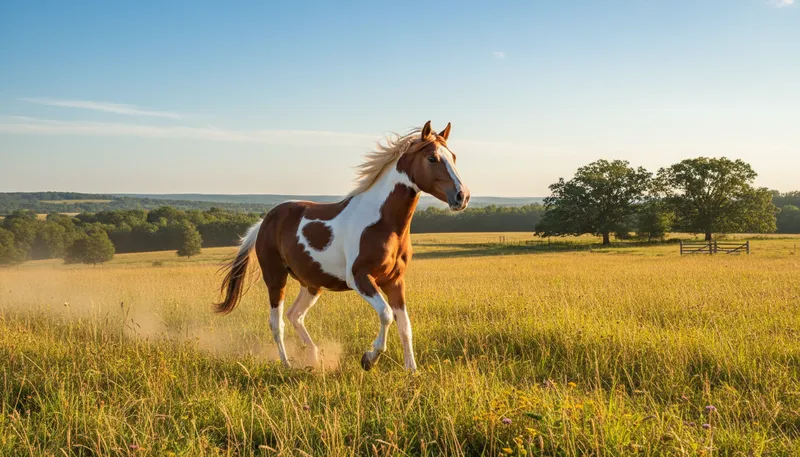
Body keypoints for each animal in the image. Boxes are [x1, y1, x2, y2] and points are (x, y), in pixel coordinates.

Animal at [214, 120, 470, 372]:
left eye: (454, 156)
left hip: (311, 283)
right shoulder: (360, 278)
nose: (462, 196)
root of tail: (264, 222)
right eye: (432, 158)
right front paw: (369, 358)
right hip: (275, 278)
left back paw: (314, 358)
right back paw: (287, 365)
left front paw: (412, 371)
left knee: (295, 315)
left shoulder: (395, 281)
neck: (382, 222)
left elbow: (405, 325)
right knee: (277, 323)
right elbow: (386, 314)